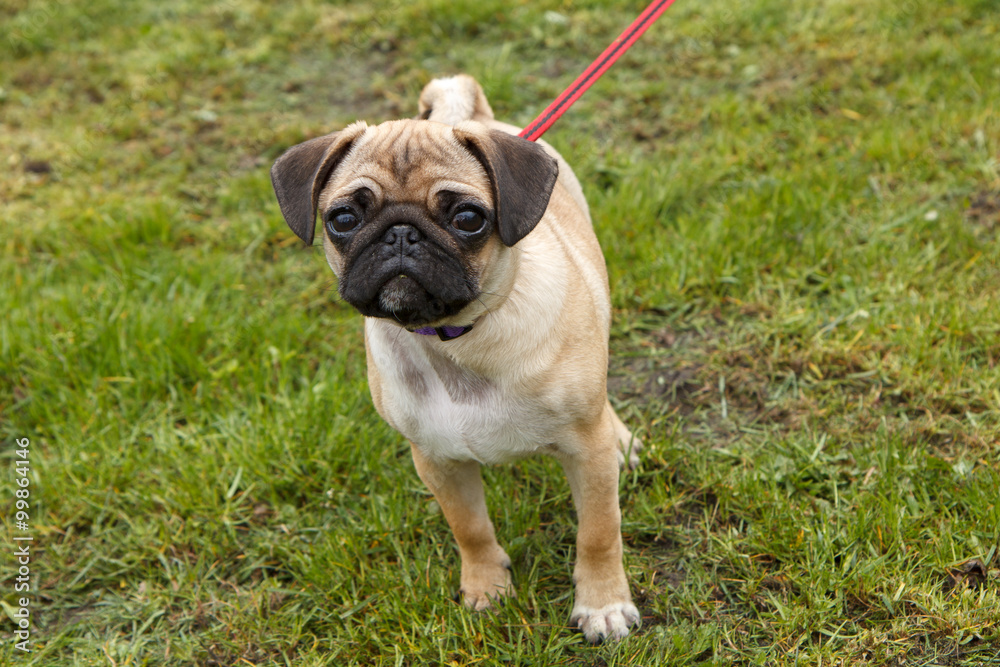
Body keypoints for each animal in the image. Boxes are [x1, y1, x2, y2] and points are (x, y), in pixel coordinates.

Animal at [270, 73, 640, 640]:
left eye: (468, 218)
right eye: (343, 218)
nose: (401, 233)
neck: (453, 339)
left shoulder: (586, 452)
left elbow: (598, 532)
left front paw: (603, 604)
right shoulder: (437, 460)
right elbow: (470, 528)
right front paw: (486, 585)